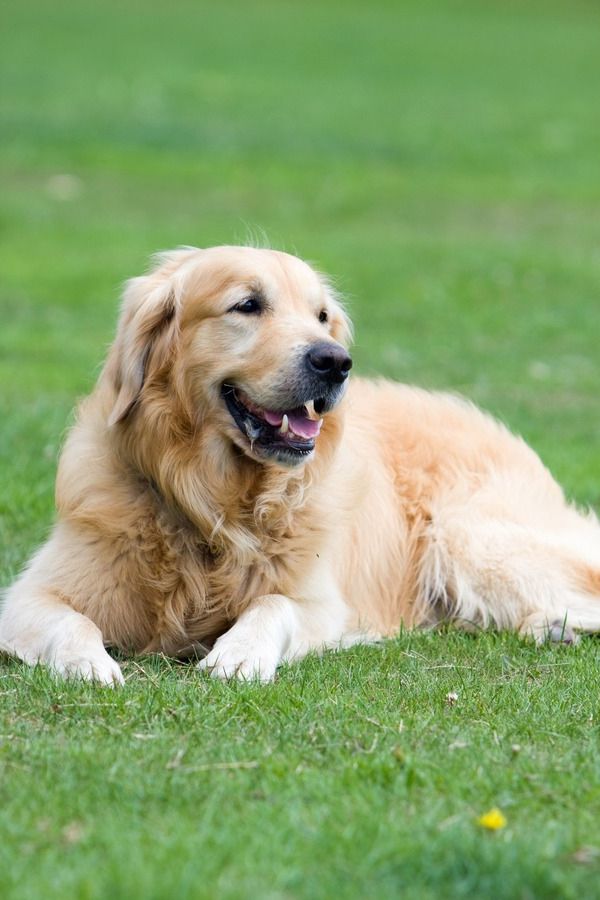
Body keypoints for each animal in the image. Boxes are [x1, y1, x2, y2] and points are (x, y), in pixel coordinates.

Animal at [1, 246, 600, 684]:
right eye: (247, 305)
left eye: (322, 317)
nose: (335, 361)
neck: (213, 504)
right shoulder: (27, 598)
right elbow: (71, 622)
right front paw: (88, 663)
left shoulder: (321, 602)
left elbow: (273, 605)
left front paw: (238, 653)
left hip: (466, 541)